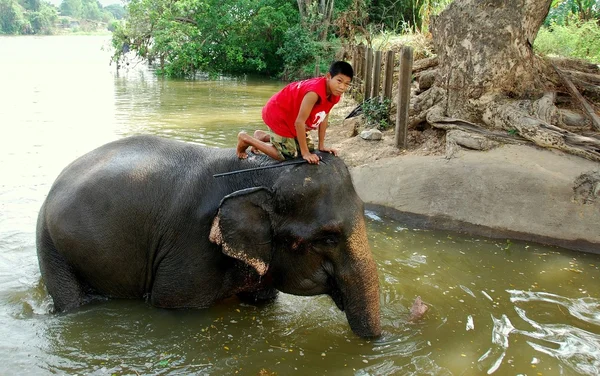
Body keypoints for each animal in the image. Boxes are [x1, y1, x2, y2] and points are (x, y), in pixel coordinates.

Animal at [37, 135, 382, 338]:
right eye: (328, 238)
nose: (376, 341)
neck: (261, 171)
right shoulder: (191, 247)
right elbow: (173, 303)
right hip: (51, 245)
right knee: (70, 300)